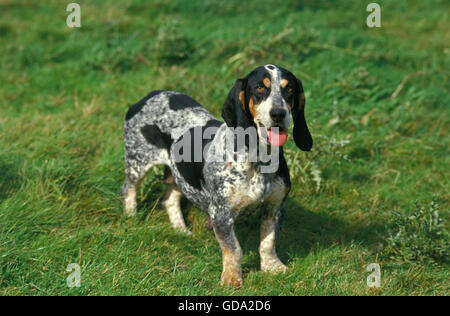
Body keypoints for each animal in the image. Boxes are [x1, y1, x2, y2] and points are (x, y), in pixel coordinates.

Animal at [121, 64, 312, 286]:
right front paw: (231, 278)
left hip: (180, 175)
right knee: (128, 189)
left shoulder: (275, 207)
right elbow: (234, 249)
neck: (257, 158)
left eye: (289, 89)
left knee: (169, 200)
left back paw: (181, 230)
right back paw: (131, 217)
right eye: (259, 88)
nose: (278, 114)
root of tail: (147, 97)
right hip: (137, 163)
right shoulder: (221, 213)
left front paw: (272, 267)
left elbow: (267, 242)